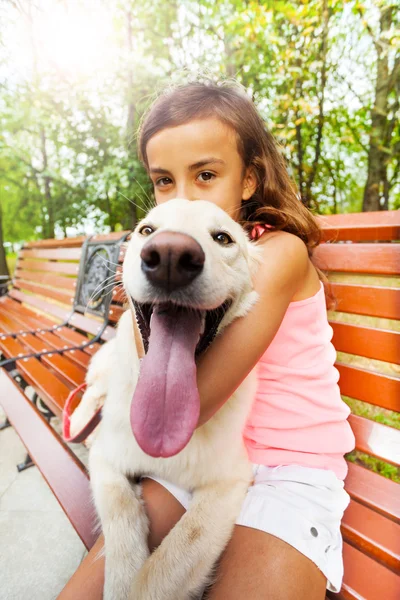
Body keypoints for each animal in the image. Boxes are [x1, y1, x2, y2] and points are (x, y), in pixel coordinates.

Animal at [71, 200, 262, 600]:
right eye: (147, 231)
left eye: (223, 238)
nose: (171, 256)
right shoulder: (107, 460)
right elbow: (120, 511)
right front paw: (122, 579)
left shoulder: (229, 481)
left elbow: (175, 554)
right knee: (92, 393)